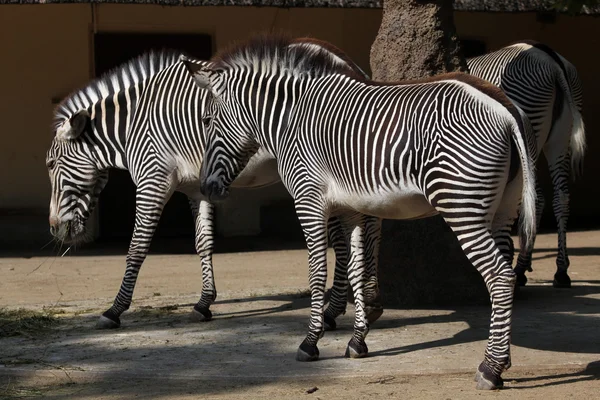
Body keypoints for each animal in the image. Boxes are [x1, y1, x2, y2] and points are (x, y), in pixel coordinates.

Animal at [45, 39, 380, 330]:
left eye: (49, 164)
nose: (54, 229)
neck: (132, 126)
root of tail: (351, 66)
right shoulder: (197, 186)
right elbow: (203, 242)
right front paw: (204, 303)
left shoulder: (153, 179)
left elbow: (137, 246)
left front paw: (114, 310)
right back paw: (365, 301)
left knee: (345, 236)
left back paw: (341, 307)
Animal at [185, 35, 536, 390]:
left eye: (206, 121)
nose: (206, 187)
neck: (291, 116)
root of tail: (505, 109)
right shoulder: (351, 209)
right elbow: (355, 270)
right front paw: (357, 341)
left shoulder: (308, 200)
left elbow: (317, 273)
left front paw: (310, 343)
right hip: (503, 209)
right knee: (505, 269)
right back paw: (503, 358)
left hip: (462, 206)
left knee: (500, 276)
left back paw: (490, 368)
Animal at [468, 41, 584, 288]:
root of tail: (550, 59)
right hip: (560, 136)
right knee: (560, 197)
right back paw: (560, 271)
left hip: (530, 127)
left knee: (535, 198)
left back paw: (521, 268)